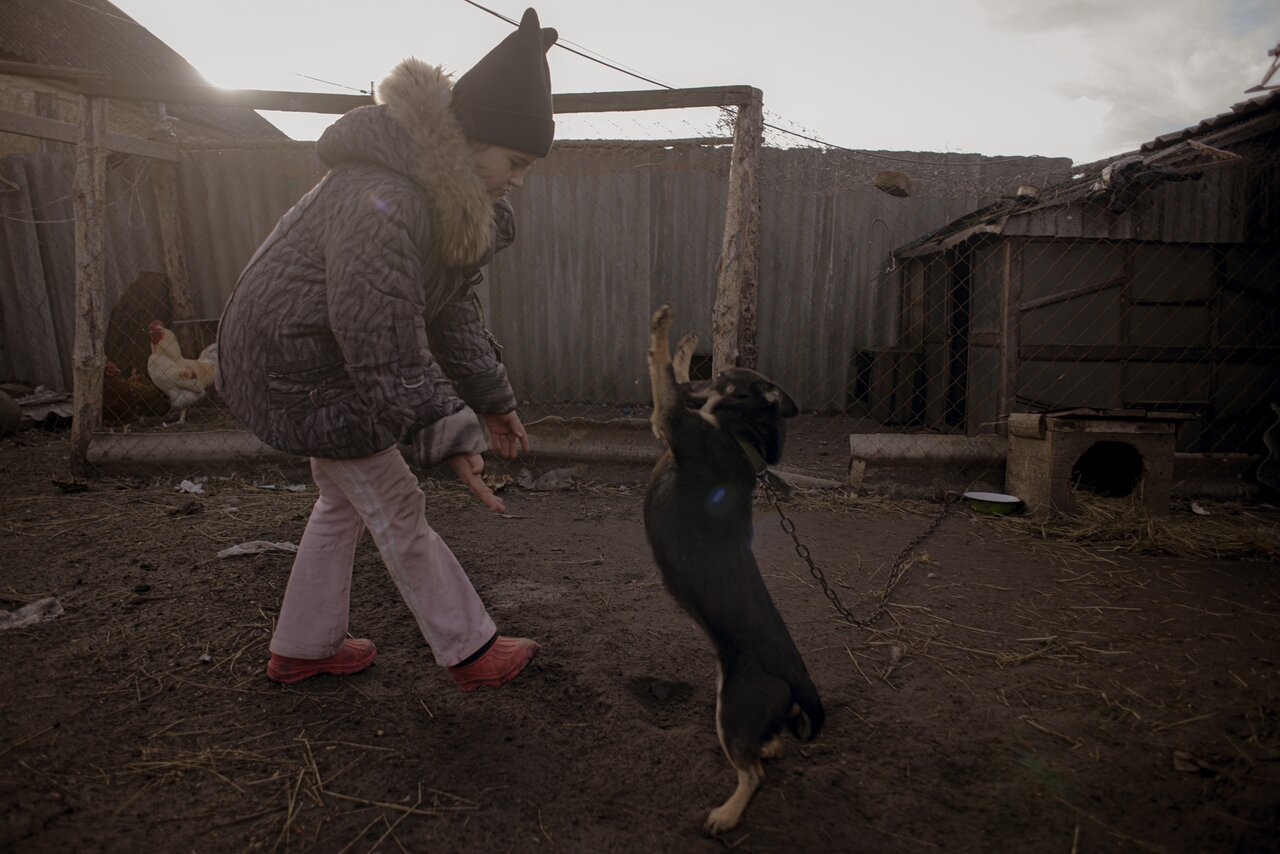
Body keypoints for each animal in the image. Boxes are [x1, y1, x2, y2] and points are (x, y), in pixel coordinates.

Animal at [645, 302, 824, 834]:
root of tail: (799, 678)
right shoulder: (669, 419)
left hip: (733, 709)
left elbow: (660, 369)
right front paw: (683, 346)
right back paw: (771, 747)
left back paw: (726, 814)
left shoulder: (669, 417)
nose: (696, 390)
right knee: (769, 747)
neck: (739, 436)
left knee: (753, 774)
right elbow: (670, 371)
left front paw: (664, 331)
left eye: (724, 379)